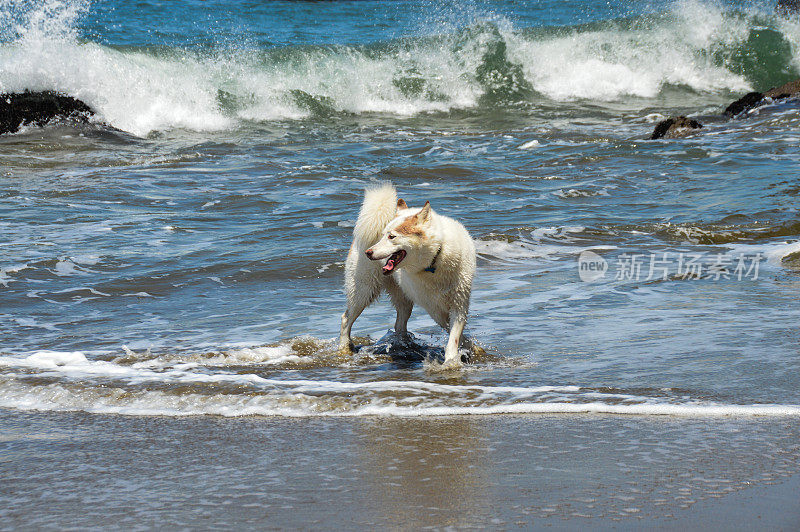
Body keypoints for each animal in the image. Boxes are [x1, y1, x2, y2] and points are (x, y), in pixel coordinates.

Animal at [338, 182, 476, 366]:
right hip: (363, 291)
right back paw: (344, 348)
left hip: (402, 297)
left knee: (400, 323)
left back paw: (403, 345)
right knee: (346, 318)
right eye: (383, 235)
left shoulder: (459, 303)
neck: (435, 261)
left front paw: (459, 354)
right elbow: (452, 333)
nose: (369, 252)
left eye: (391, 236)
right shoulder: (434, 308)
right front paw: (457, 355)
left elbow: (454, 334)